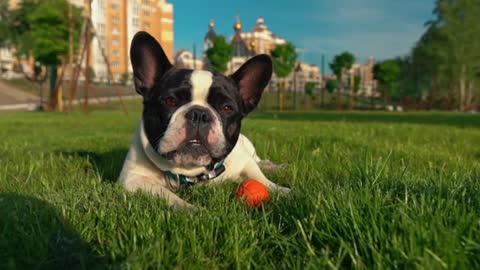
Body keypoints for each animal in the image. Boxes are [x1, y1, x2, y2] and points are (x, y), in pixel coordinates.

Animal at [118, 31, 290, 209]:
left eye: (227, 108)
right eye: (170, 101)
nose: (199, 114)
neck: (192, 173)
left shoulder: (244, 161)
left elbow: (260, 177)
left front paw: (285, 192)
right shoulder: (132, 179)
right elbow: (166, 194)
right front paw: (191, 209)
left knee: (258, 161)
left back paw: (273, 166)